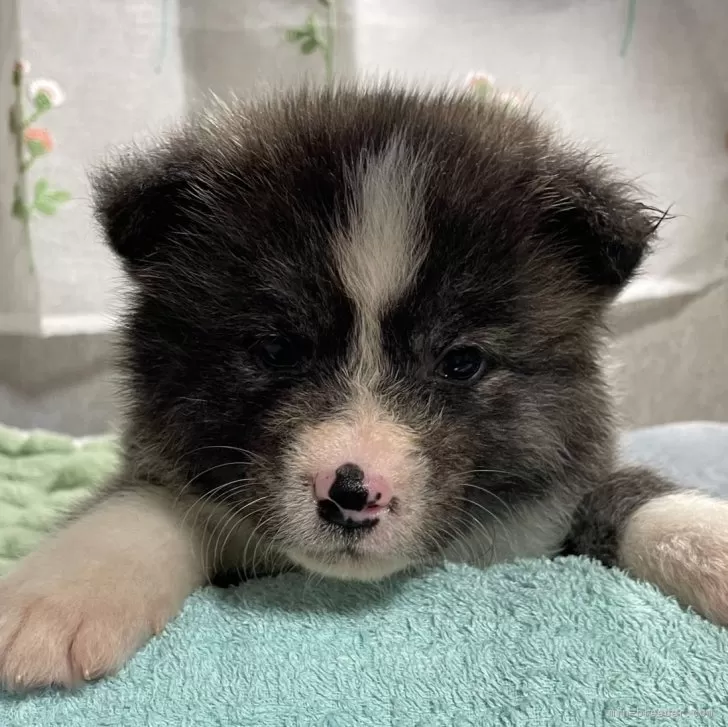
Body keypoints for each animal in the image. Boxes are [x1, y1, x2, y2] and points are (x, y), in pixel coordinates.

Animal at [1, 84, 728, 688]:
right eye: (274, 349)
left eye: (462, 362)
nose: (352, 495)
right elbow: (146, 505)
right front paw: (61, 593)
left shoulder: (547, 504)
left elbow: (626, 495)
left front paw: (709, 540)